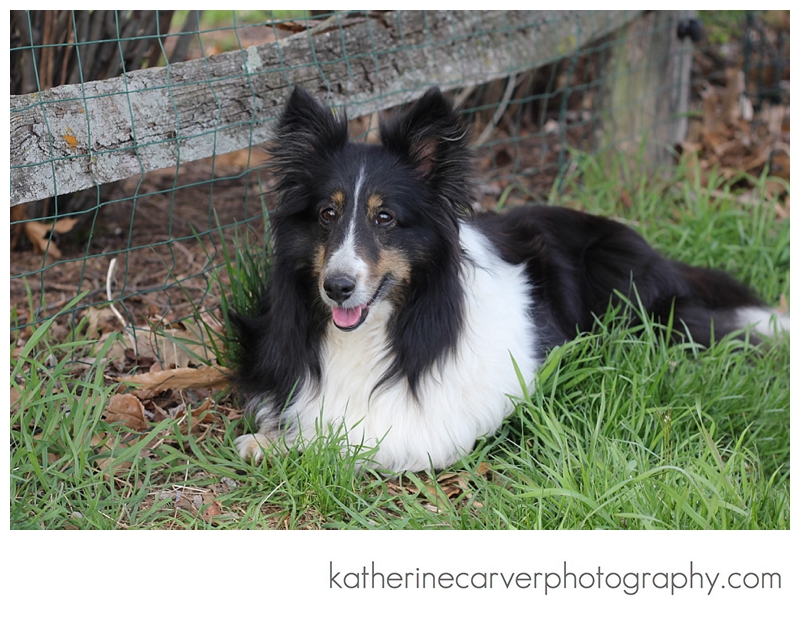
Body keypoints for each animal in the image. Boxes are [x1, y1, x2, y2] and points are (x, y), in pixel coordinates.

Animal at [233, 85, 788, 473]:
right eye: (327, 214)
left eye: (385, 217)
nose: (337, 287)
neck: (386, 326)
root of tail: (655, 254)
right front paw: (267, 441)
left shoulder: (430, 428)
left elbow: (353, 439)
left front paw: (284, 446)